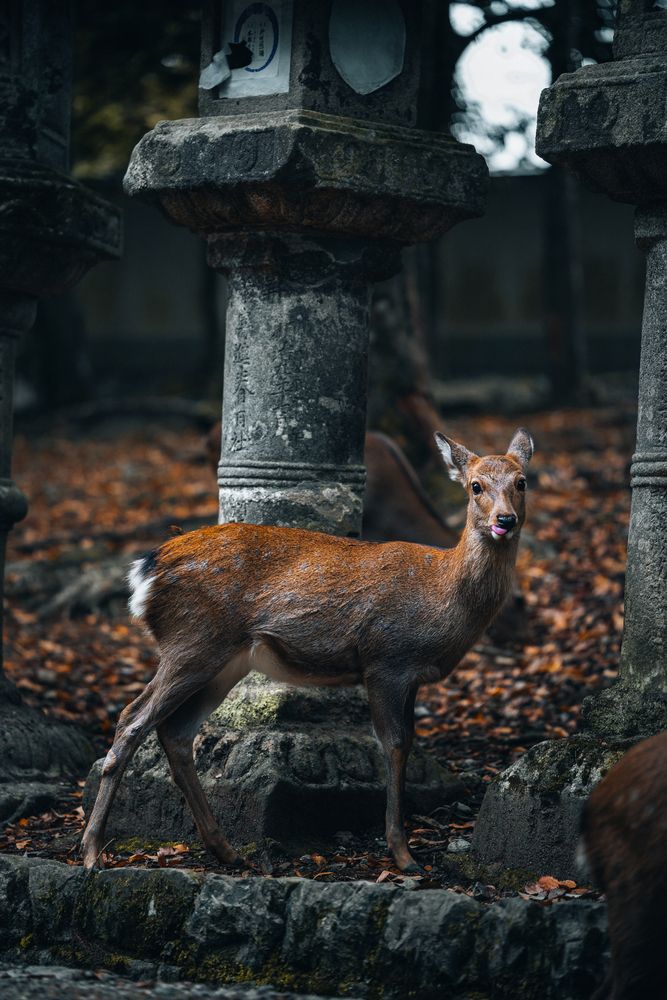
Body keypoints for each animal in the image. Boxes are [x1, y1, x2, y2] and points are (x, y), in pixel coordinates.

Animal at [81, 427, 534, 873]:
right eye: (475, 486)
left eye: (521, 482)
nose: (504, 520)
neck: (441, 594)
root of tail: (146, 571)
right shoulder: (386, 660)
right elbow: (394, 744)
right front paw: (404, 855)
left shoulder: (411, 676)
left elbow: (406, 743)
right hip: (192, 641)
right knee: (132, 719)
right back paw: (91, 852)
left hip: (221, 660)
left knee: (174, 732)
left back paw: (226, 850)